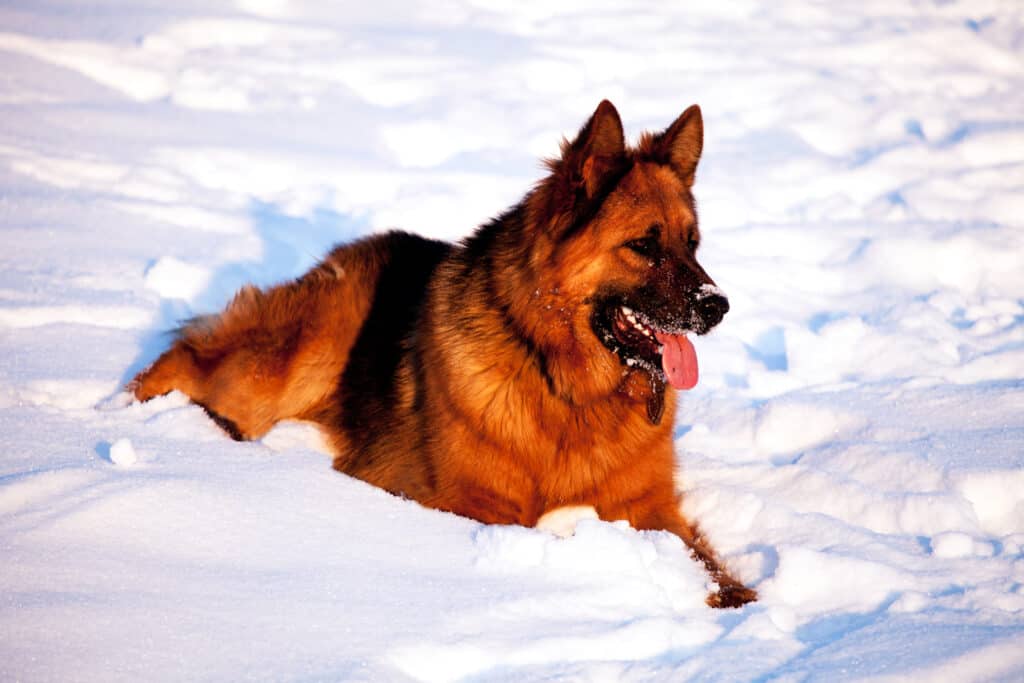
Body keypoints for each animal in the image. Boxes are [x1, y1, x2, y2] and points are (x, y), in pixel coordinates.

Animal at [132, 101, 757, 610]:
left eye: (692, 244)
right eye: (644, 246)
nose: (719, 306)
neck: (564, 386)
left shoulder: (648, 508)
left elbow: (703, 560)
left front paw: (737, 601)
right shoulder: (476, 506)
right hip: (290, 363)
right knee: (183, 361)